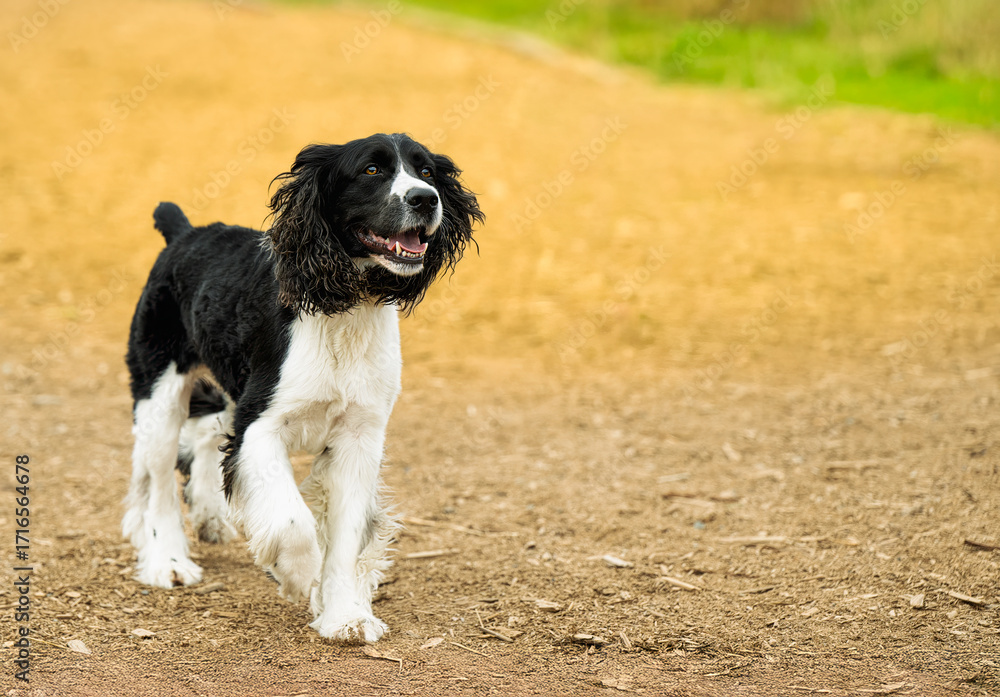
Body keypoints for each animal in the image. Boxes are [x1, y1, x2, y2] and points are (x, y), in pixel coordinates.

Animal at [122, 133, 482, 641]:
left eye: (427, 171)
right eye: (371, 170)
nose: (425, 199)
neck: (344, 309)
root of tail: (185, 232)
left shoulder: (359, 437)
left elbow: (346, 537)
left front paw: (345, 615)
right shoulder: (262, 424)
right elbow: (294, 520)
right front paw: (295, 575)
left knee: (201, 438)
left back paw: (209, 518)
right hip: (161, 388)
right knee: (156, 480)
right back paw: (166, 561)